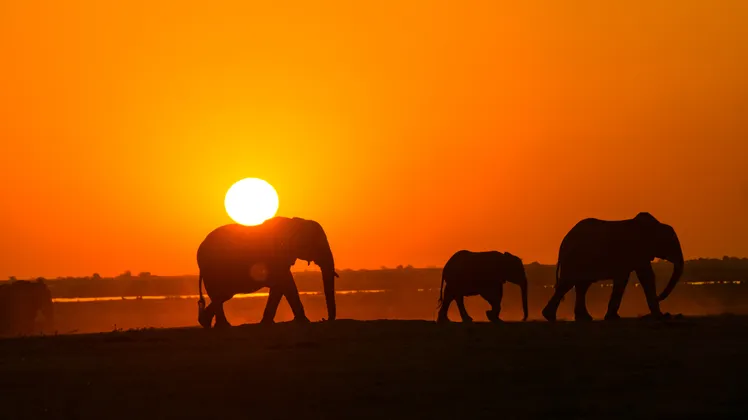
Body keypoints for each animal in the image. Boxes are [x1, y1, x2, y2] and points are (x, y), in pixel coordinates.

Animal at [196, 216, 338, 328]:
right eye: (316, 244)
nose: (325, 319)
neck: (295, 222)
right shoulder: (274, 256)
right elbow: (286, 283)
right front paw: (304, 322)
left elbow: (279, 287)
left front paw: (266, 323)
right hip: (212, 270)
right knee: (220, 295)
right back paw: (221, 325)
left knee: (222, 296)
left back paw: (207, 323)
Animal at [542, 212, 684, 322]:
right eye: (671, 244)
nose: (659, 297)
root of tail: (563, 243)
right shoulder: (637, 250)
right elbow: (646, 276)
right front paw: (660, 316)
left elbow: (625, 279)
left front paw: (613, 317)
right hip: (574, 259)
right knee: (568, 283)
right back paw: (550, 317)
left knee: (581, 286)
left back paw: (583, 318)